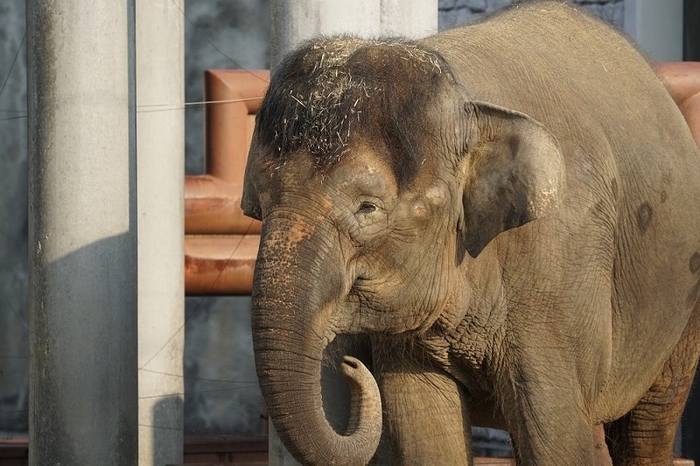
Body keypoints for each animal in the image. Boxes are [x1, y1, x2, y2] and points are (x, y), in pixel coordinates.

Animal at [242, 1, 700, 464]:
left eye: (367, 208)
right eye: (255, 208)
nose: (349, 365)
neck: (467, 105)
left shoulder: (563, 262)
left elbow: (554, 433)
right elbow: (424, 429)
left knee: (646, 426)